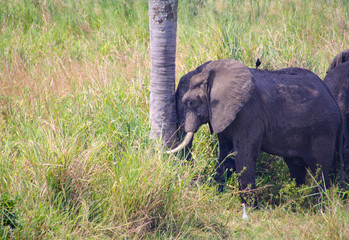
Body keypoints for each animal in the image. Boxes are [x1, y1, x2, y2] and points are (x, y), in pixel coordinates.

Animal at [169, 58, 342, 197]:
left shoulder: (248, 114)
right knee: (296, 166)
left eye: (190, 102)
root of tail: (335, 105)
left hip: (322, 129)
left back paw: (318, 206)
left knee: (320, 169)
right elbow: (227, 155)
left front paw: (251, 208)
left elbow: (243, 155)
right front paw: (214, 194)